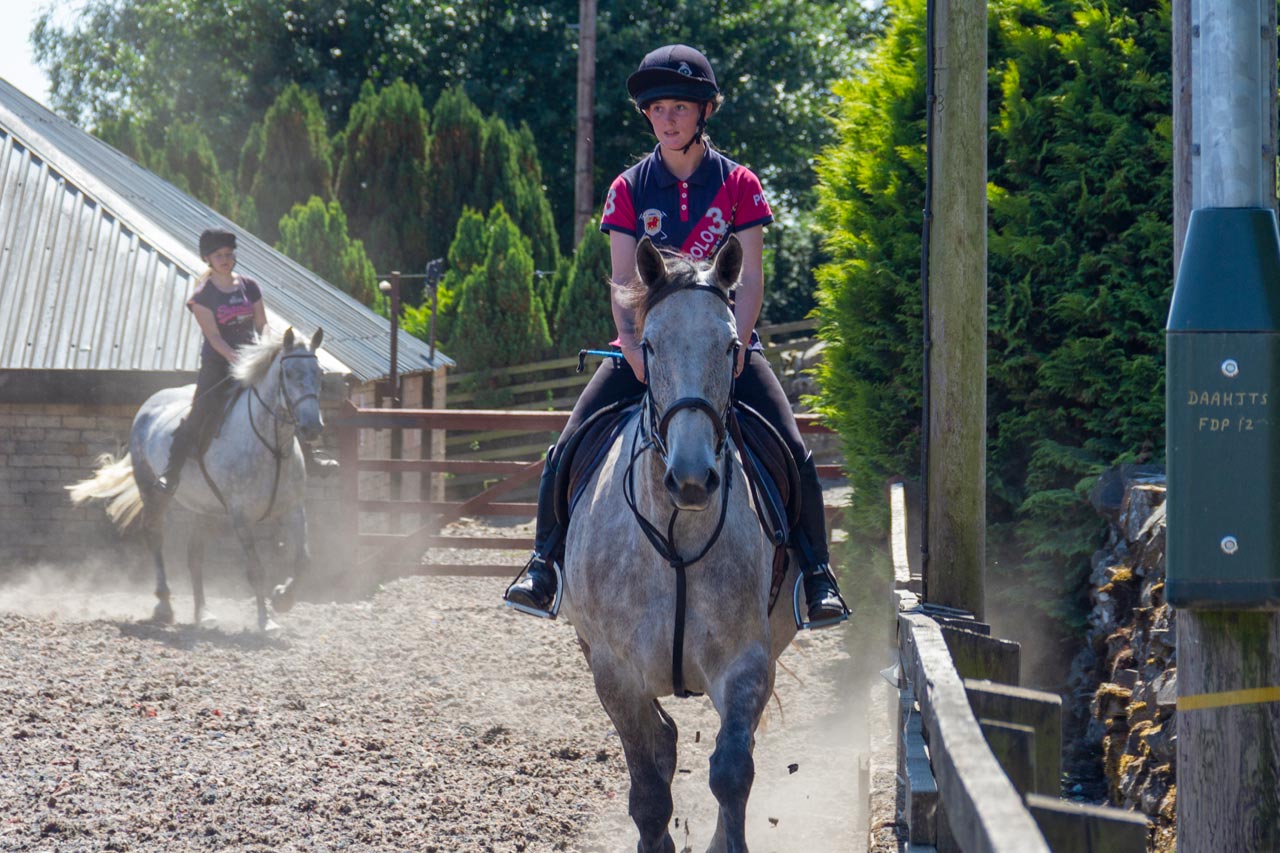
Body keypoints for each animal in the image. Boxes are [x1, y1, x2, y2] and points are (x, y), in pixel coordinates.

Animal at [68, 325, 325, 630]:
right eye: (289, 374)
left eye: (319, 374)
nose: (312, 427)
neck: (271, 447)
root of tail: (148, 406)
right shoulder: (240, 517)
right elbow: (256, 570)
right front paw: (266, 621)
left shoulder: (293, 509)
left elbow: (304, 561)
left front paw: (282, 598)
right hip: (152, 491)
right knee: (155, 537)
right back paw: (164, 606)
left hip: (205, 508)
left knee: (195, 555)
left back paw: (203, 613)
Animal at [560, 236, 798, 850]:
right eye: (648, 345)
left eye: (731, 345)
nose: (691, 480)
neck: (675, 540)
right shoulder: (615, 674)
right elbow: (648, 789)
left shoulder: (746, 664)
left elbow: (732, 770)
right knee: (662, 743)